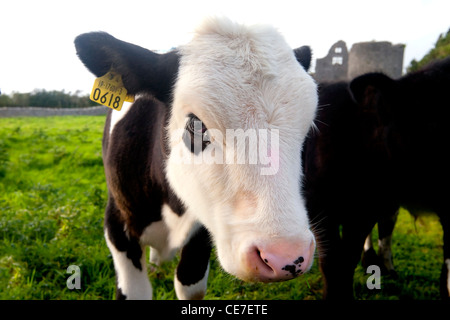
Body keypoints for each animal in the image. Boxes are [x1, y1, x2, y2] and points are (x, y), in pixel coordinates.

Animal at [75, 18, 318, 300]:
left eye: (308, 128)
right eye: (196, 124)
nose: (285, 256)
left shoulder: (202, 234)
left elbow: (189, 285)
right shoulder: (117, 225)